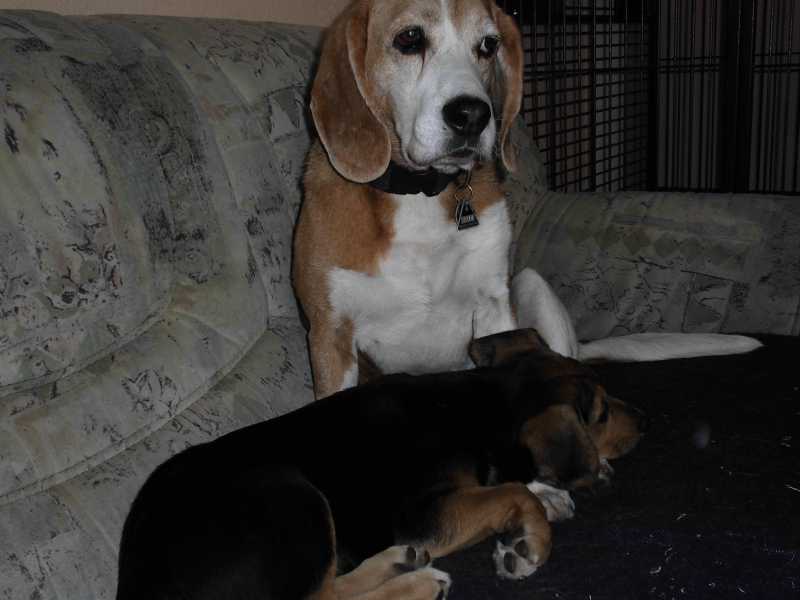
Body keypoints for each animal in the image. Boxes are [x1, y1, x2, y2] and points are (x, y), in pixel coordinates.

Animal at [115, 329, 645, 599]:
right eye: (600, 414)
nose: (642, 421)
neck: (480, 405)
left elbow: (510, 486)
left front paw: (550, 495)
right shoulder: (421, 512)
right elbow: (511, 491)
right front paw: (529, 545)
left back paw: (400, 562)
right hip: (293, 500)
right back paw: (416, 585)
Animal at [293, 0, 761, 400]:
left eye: (488, 45)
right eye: (409, 38)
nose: (473, 115)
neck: (421, 196)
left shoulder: (495, 308)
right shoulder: (330, 336)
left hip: (529, 284)